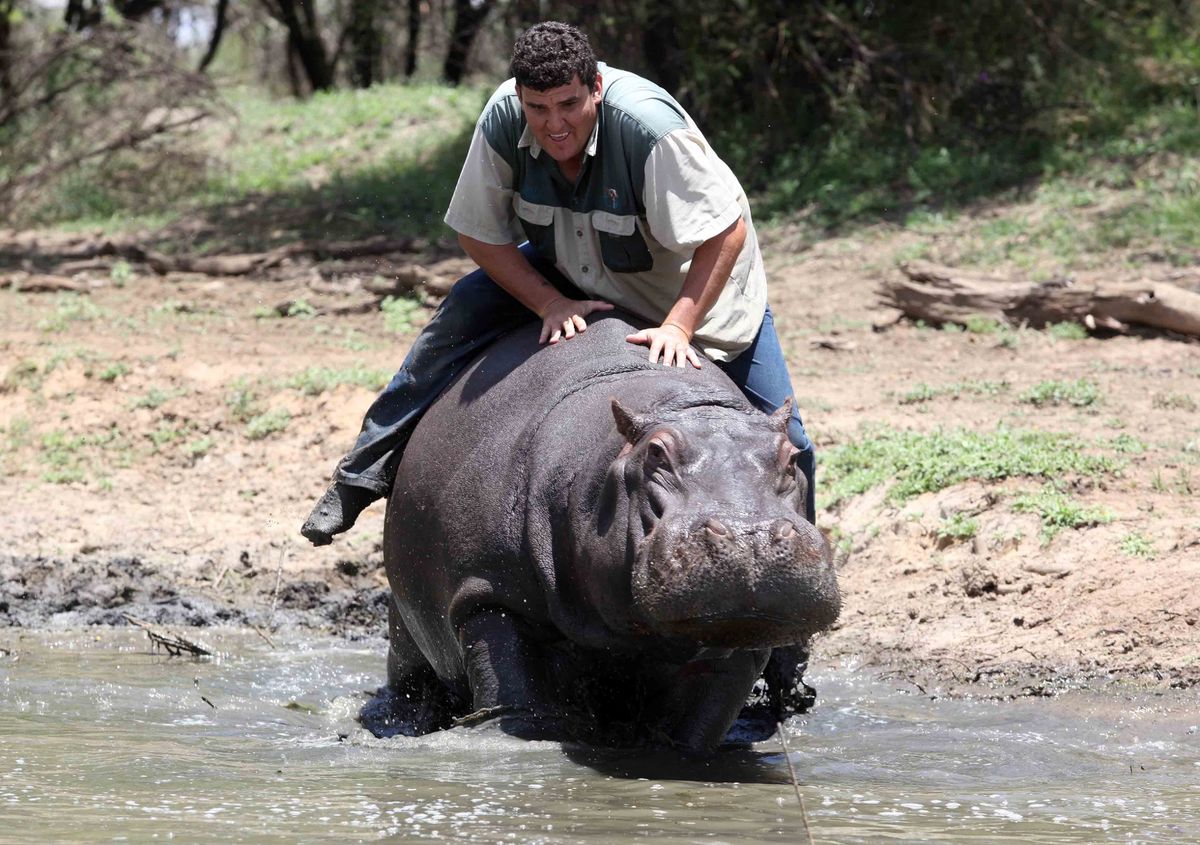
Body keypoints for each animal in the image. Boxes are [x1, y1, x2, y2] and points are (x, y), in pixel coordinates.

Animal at [372, 311, 840, 753]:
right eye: (656, 454)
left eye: (791, 456)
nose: (750, 534)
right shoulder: (488, 592)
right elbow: (511, 696)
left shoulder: (739, 642)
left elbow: (699, 722)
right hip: (404, 632)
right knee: (409, 679)